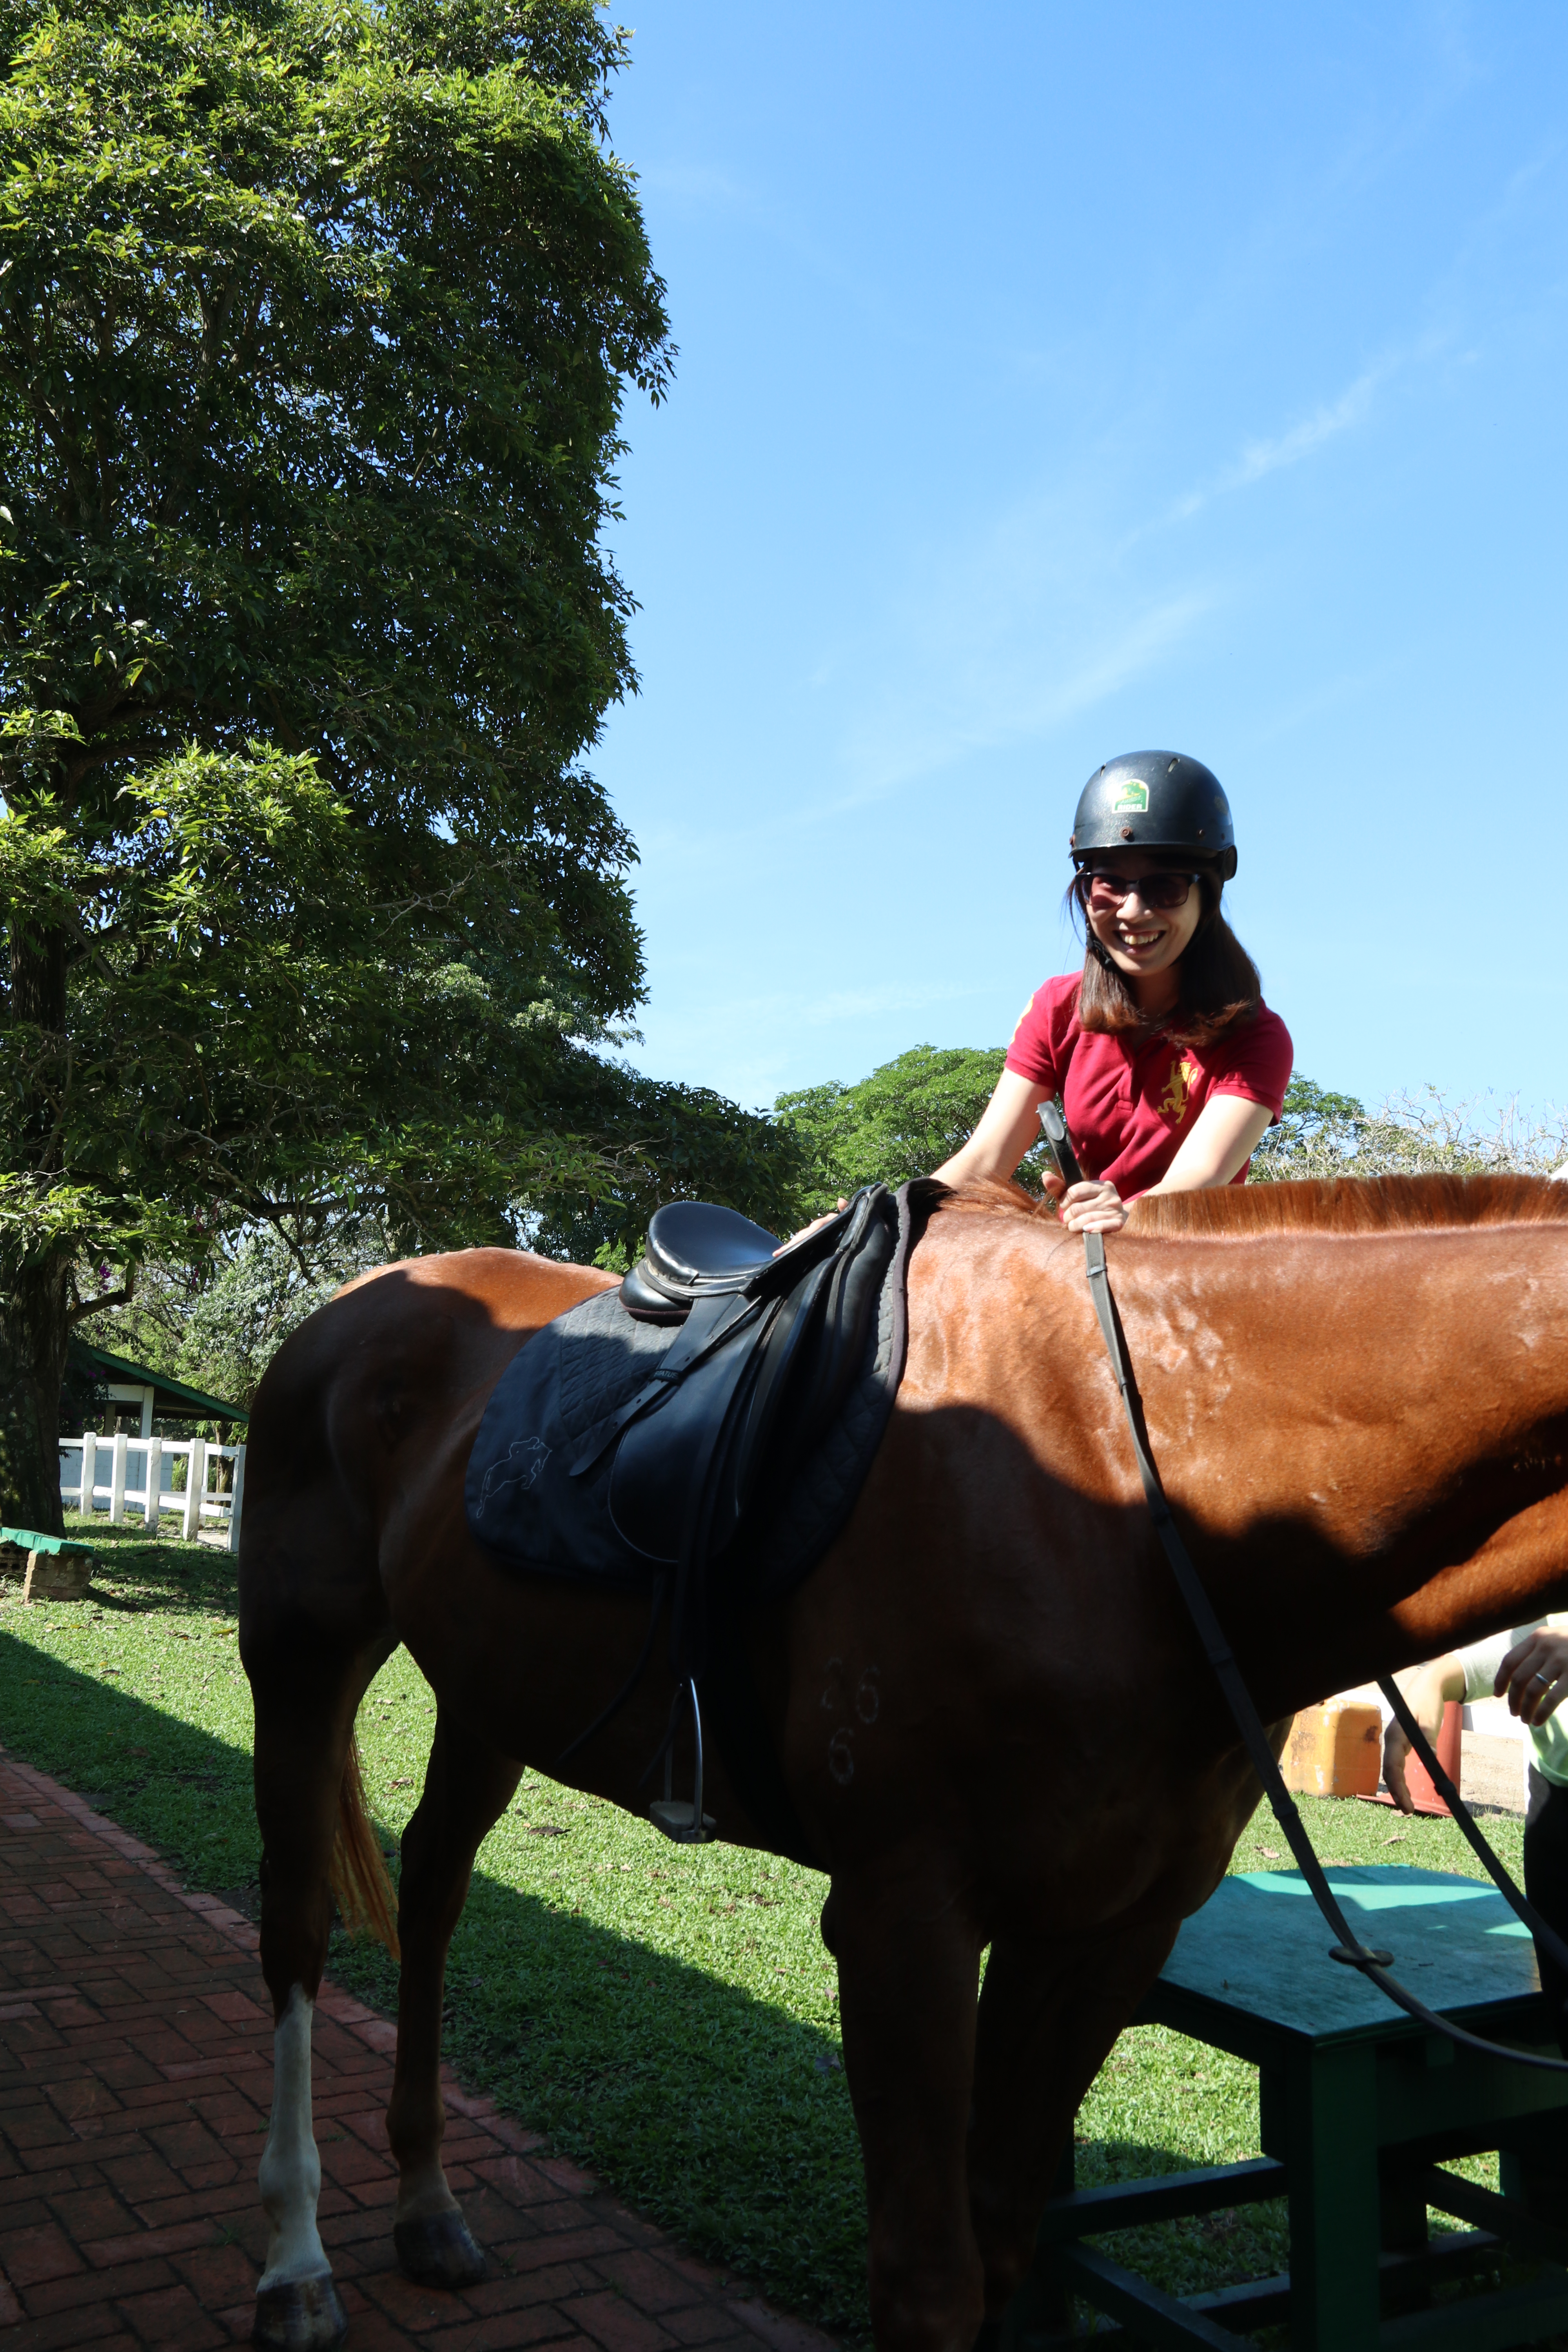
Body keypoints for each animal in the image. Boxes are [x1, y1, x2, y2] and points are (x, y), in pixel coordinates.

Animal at [238, 1173, 1568, 2352]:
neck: (1136, 1475)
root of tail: (355, 1297)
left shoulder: (1102, 1932)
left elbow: (1004, 2243)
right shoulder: (902, 1918)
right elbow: (930, 2287)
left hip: (489, 1687)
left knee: (431, 1890)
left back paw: (425, 2205)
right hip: (300, 1651)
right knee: (297, 1924)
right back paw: (295, 2262)